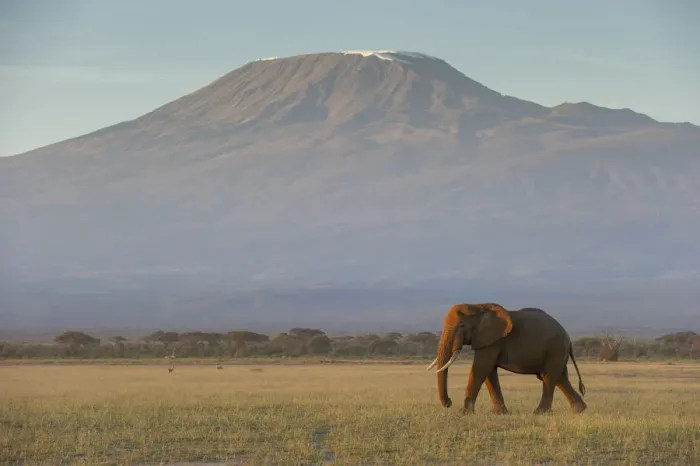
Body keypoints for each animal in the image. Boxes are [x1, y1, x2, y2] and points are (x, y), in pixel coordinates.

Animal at [427, 303, 587, 415]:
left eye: (462, 325)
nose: (449, 403)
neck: (478, 306)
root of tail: (569, 338)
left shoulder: (492, 340)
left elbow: (481, 368)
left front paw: (464, 413)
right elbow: (489, 371)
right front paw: (500, 414)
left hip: (556, 348)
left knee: (549, 376)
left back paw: (540, 413)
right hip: (557, 351)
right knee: (559, 377)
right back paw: (580, 410)